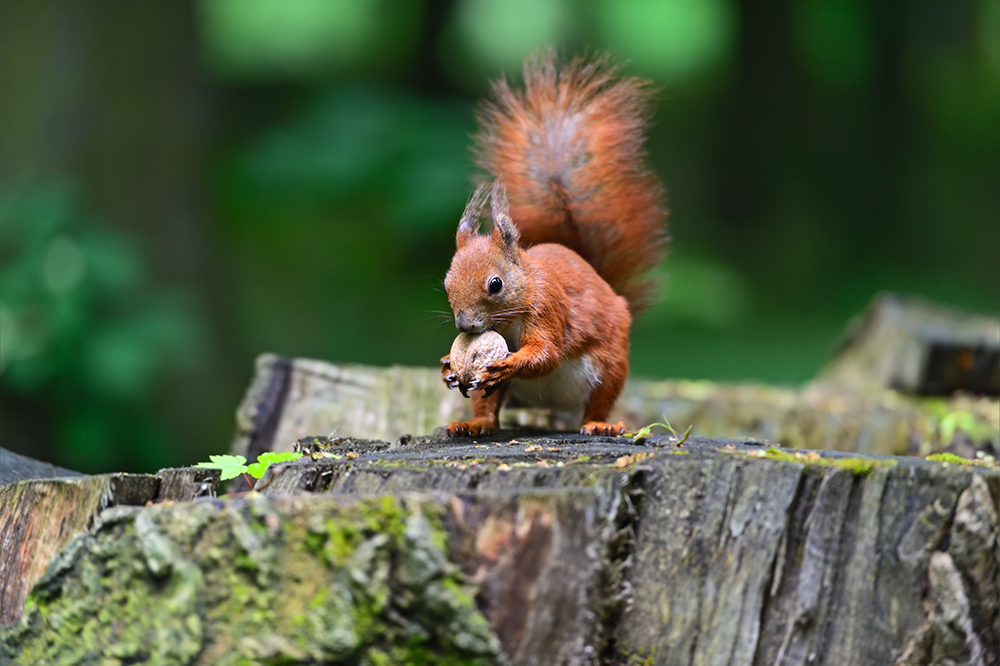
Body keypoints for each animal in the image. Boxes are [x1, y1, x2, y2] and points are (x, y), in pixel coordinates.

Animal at [440, 51, 668, 437]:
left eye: (495, 284)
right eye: (446, 284)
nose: (465, 326)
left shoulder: (549, 308)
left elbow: (546, 354)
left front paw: (507, 364)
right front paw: (447, 366)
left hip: (610, 365)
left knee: (599, 401)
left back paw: (599, 424)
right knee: (489, 407)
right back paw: (473, 423)